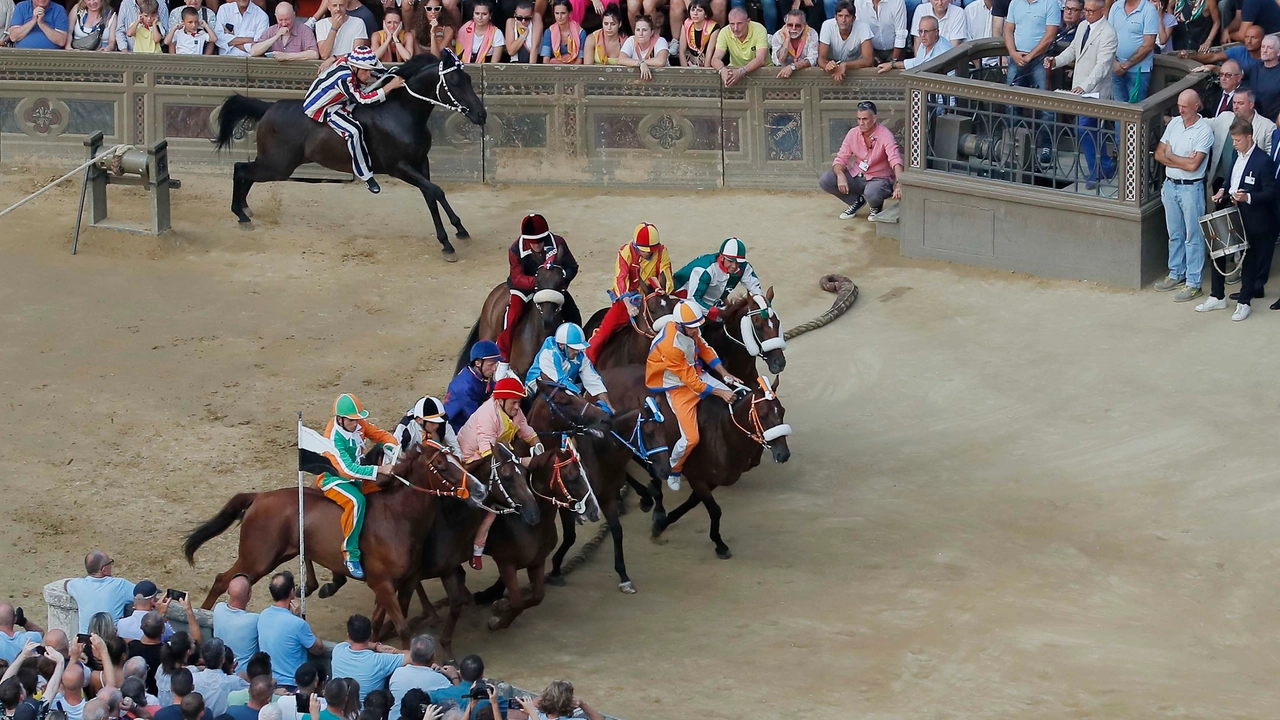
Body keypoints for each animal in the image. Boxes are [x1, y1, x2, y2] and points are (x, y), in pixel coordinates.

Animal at [180, 438, 481, 638]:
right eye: (441, 465)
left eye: (457, 459)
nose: (478, 489)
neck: (397, 519)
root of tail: (259, 497)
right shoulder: (382, 584)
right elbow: (402, 628)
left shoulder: (404, 583)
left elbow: (378, 625)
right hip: (257, 558)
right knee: (222, 580)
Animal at [650, 376, 788, 561]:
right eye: (764, 415)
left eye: (782, 411)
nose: (784, 454)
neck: (722, 434)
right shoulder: (696, 477)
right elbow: (715, 510)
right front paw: (720, 544)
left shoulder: (712, 479)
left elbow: (691, 503)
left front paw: (662, 524)